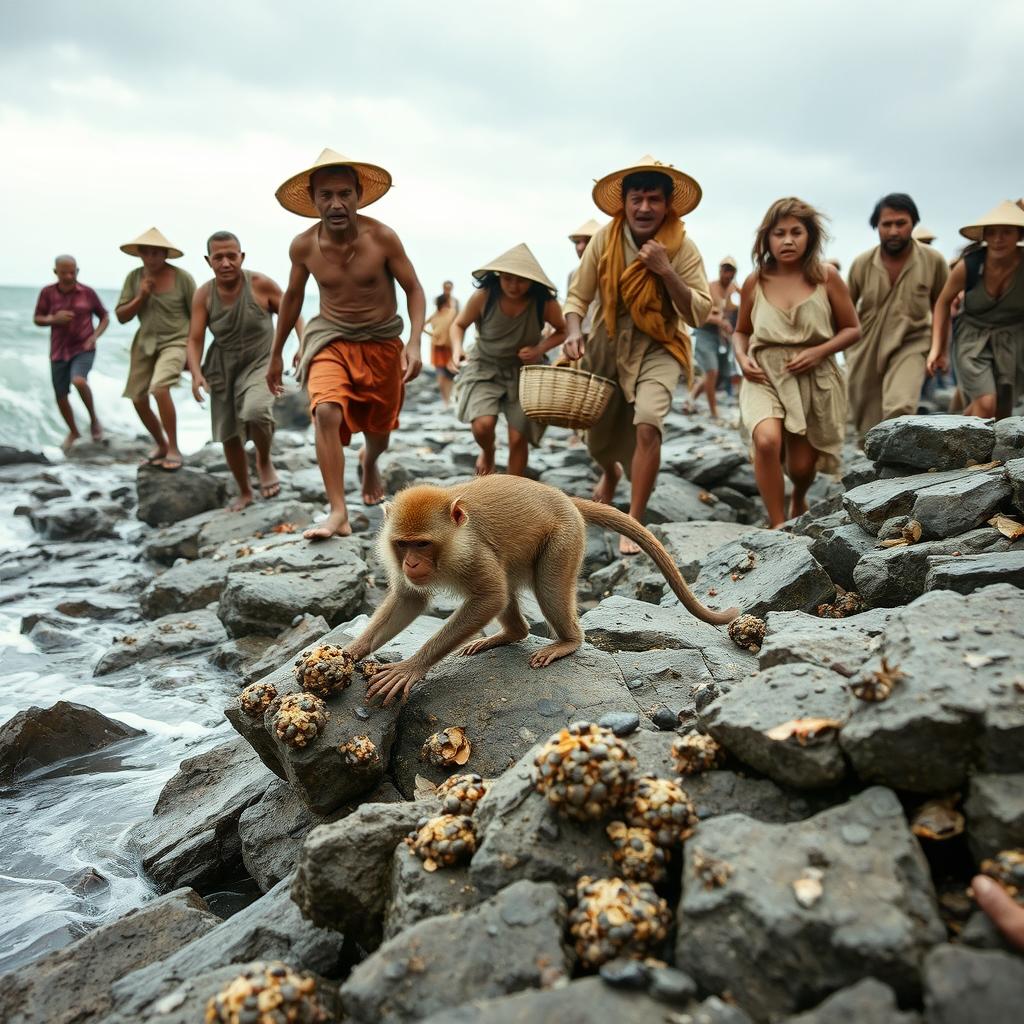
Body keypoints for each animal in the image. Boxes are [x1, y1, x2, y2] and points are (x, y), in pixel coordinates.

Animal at [345, 475, 740, 706]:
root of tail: (564, 497)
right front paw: (353, 651)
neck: (453, 539)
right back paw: (510, 634)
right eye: (403, 544)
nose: (411, 565)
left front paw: (411, 667)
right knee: (510, 583)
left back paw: (567, 642)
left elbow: (490, 596)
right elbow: (410, 599)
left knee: (547, 589)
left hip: (565, 539)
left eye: (423, 544)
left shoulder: (471, 552)